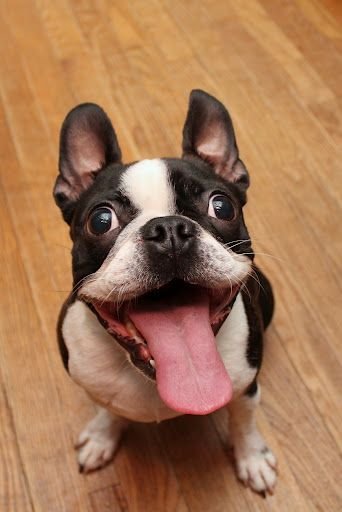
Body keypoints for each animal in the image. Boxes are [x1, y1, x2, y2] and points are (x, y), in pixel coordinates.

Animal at [53, 90, 278, 494]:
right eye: (101, 220)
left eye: (222, 205)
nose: (169, 229)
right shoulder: (93, 383)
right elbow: (107, 409)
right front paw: (102, 435)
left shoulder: (246, 385)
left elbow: (243, 421)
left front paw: (252, 458)